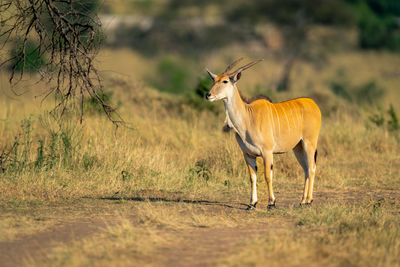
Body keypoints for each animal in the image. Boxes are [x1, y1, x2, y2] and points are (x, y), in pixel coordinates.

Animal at [206, 58, 322, 209]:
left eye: (225, 81)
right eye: (214, 80)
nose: (208, 95)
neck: (248, 117)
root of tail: (313, 104)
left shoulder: (267, 152)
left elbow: (267, 176)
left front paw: (271, 202)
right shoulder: (248, 154)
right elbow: (252, 177)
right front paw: (252, 203)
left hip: (309, 143)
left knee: (312, 168)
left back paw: (309, 200)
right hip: (298, 148)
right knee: (306, 169)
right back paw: (302, 201)